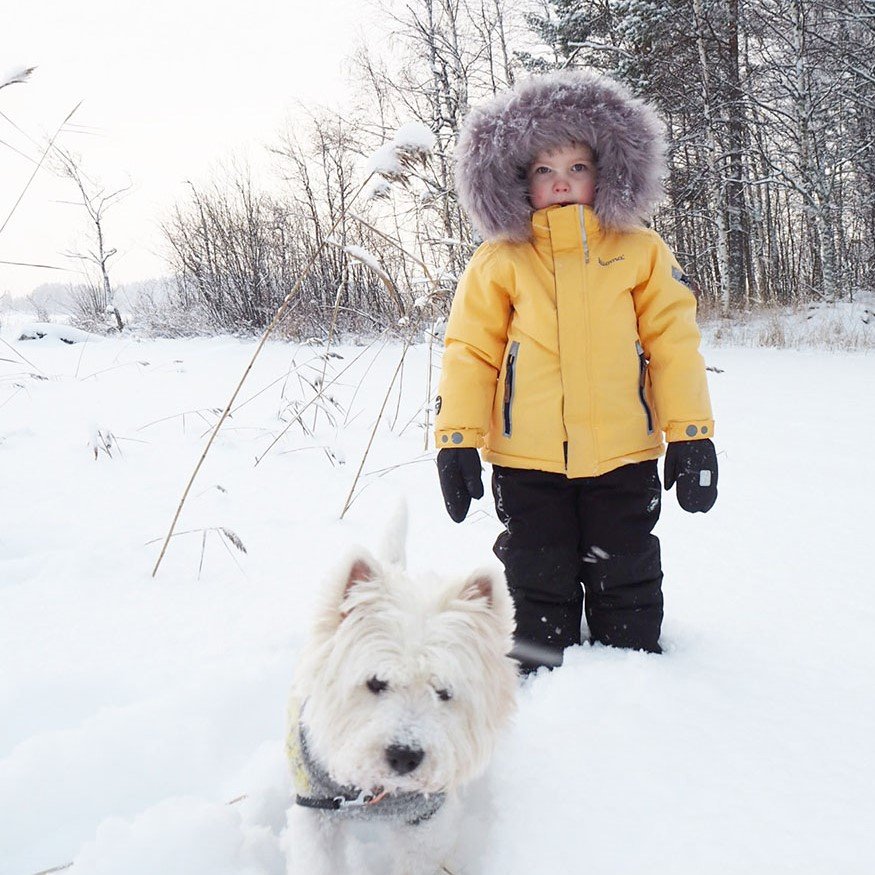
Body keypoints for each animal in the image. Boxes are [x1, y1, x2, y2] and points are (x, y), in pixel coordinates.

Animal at [286, 536, 520, 872]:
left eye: (443, 692)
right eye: (375, 682)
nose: (404, 756)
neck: (376, 794)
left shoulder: (425, 823)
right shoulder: (317, 812)